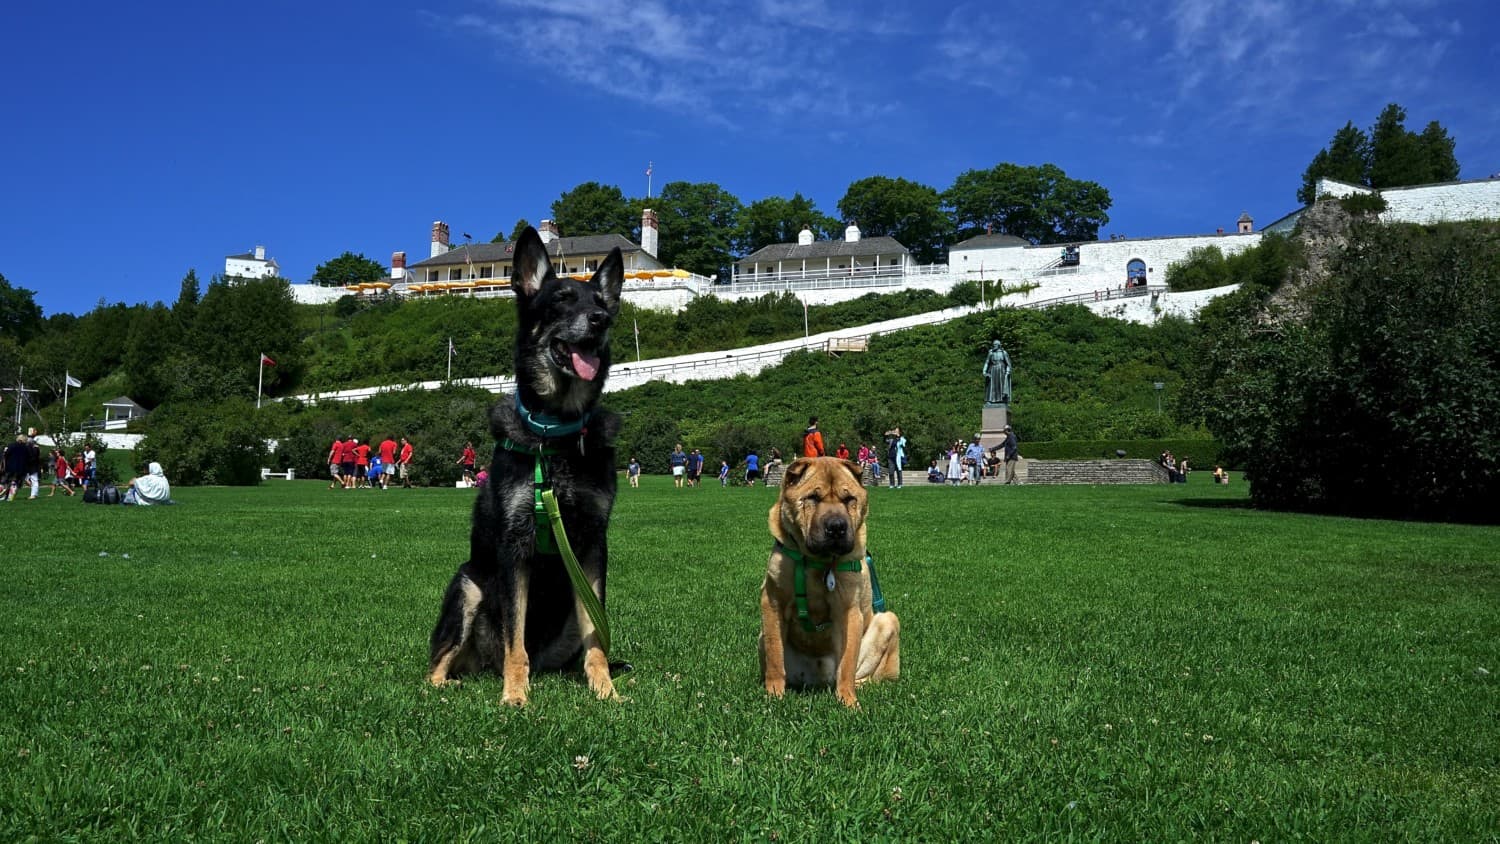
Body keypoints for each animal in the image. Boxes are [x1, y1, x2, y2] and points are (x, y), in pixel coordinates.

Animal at [432, 226, 624, 707]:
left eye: (601, 301)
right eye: (561, 300)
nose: (600, 320)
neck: (555, 435)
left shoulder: (592, 544)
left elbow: (598, 636)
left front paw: (606, 690)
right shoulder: (515, 544)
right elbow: (513, 640)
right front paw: (515, 695)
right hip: (468, 586)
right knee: (442, 662)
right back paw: (446, 687)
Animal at [762, 455, 900, 707]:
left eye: (849, 499)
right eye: (813, 498)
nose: (836, 527)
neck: (816, 562)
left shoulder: (848, 610)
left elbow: (846, 664)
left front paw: (848, 702)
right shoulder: (772, 602)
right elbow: (775, 655)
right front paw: (774, 694)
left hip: (888, 620)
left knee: (862, 675)